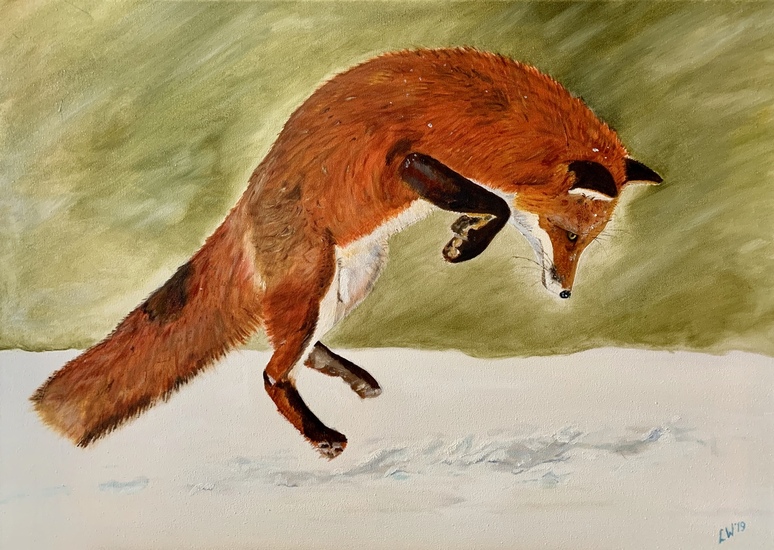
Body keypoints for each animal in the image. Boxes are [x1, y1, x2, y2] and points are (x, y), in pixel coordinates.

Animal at [31, 48, 662, 458]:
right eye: (571, 237)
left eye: (586, 243)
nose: (565, 291)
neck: (504, 118)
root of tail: (246, 204)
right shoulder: (411, 157)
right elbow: (498, 205)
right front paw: (466, 241)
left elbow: (493, 204)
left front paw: (464, 229)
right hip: (313, 281)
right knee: (271, 372)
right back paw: (321, 437)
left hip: (354, 276)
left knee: (302, 352)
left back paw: (358, 381)